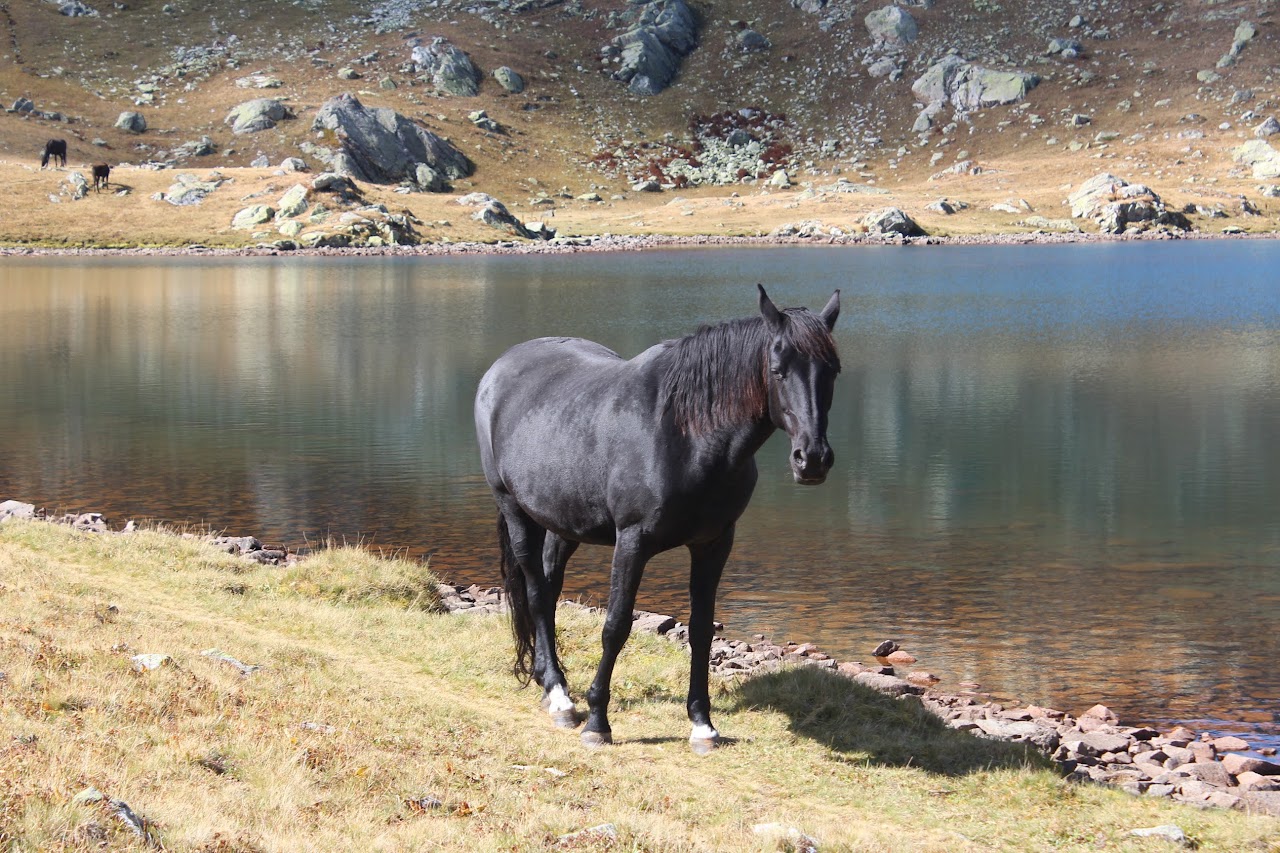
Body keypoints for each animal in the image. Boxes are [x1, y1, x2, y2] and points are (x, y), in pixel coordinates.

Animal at [471, 284, 839, 742]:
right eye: (777, 370)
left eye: (833, 371)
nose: (812, 460)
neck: (686, 435)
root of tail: (499, 369)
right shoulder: (632, 541)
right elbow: (616, 626)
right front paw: (598, 722)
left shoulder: (715, 543)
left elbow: (701, 629)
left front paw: (702, 724)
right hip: (515, 511)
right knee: (537, 594)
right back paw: (559, 697)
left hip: (563, 524)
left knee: (551, 590)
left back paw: (547, 679)